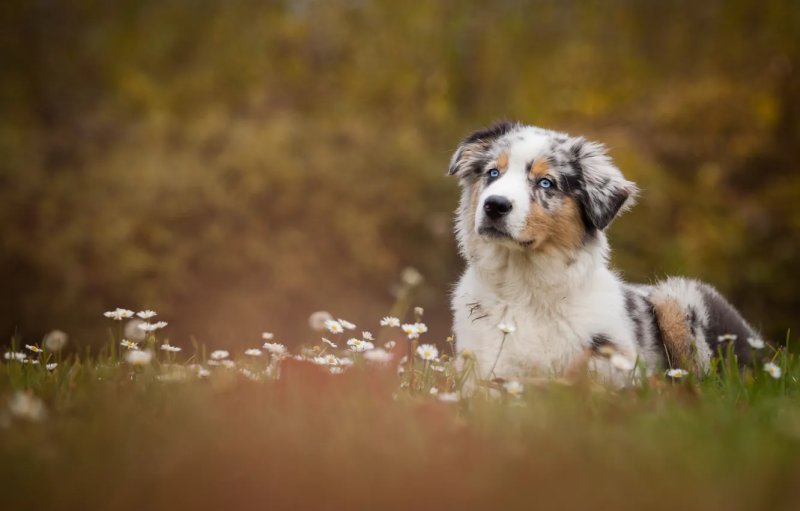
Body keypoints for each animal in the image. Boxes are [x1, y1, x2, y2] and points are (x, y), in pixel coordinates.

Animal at [446, 121, 764, 384]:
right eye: (493, 173)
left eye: (546, 182)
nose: (494, 205)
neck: (523, 285)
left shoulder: (618, 363)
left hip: (677, 297)